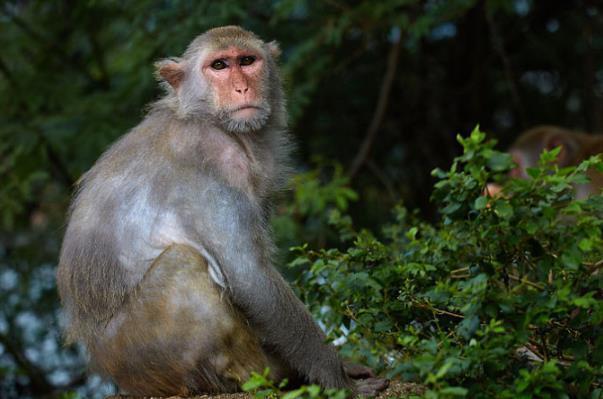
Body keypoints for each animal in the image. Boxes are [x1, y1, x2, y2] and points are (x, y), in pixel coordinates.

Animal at [55, 26, 386, 398]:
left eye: (247, 60)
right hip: (147, 358)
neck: (208, 118)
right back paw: (263, 372)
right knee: (183, 264)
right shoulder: (216, 162)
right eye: (219, 66)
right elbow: (250, 277)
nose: (242, 87)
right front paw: (338, 380)